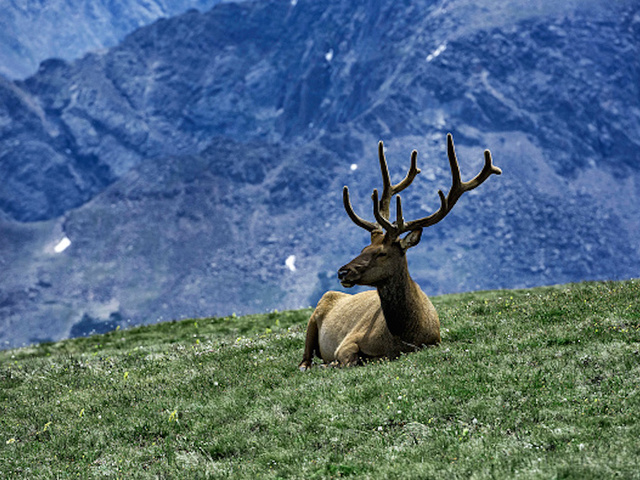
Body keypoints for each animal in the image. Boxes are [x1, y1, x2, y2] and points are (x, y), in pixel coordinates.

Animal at [298, 133, 501, 370]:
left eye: (381, 253)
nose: (342, 271)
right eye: (364, 248)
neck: (403, 335)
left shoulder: (433, 342)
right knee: (305, 357)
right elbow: (349, 359)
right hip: (315, 316)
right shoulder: (347, 342)